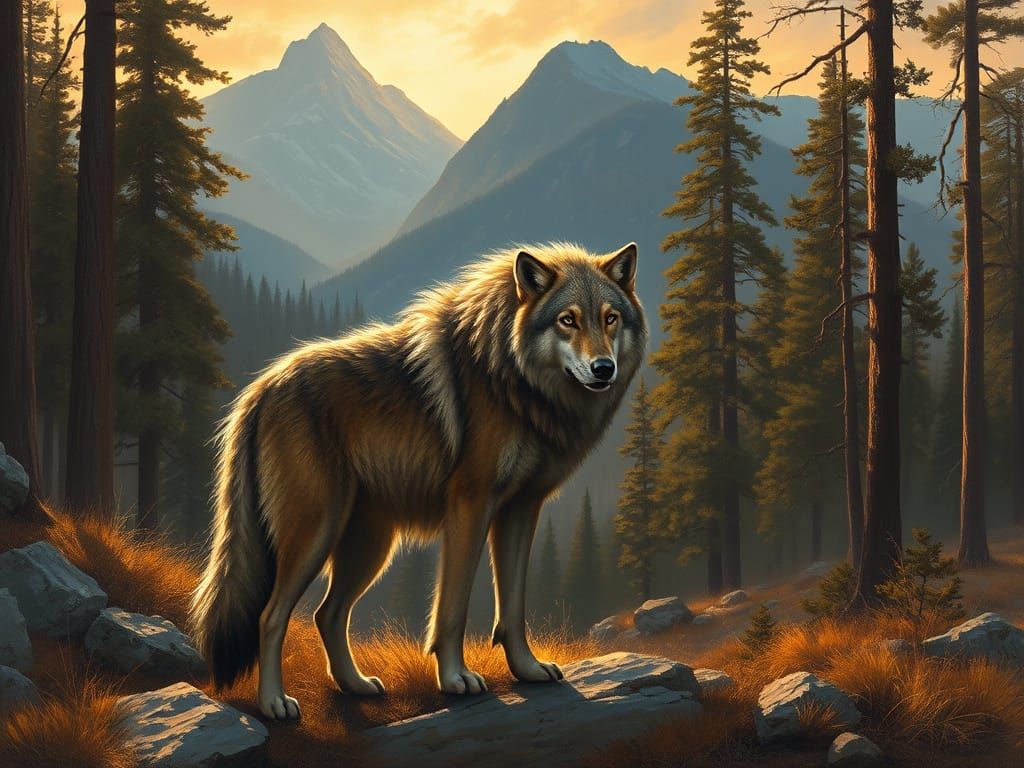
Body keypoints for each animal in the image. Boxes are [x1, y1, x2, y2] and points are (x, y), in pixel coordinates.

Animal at [189, 241, 647, 720]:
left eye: (609, 318)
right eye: (568, 320)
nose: (603, 368)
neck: (511, 376)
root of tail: (259, 389)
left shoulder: (521, 509)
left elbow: (513, 607)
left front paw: (527, 670)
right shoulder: (471, 505)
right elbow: (452, 608)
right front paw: (455, 679)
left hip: (370, 546)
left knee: (327, 614)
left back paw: (355, 686)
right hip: (316, 533)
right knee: (271, 616)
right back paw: (274, 703)